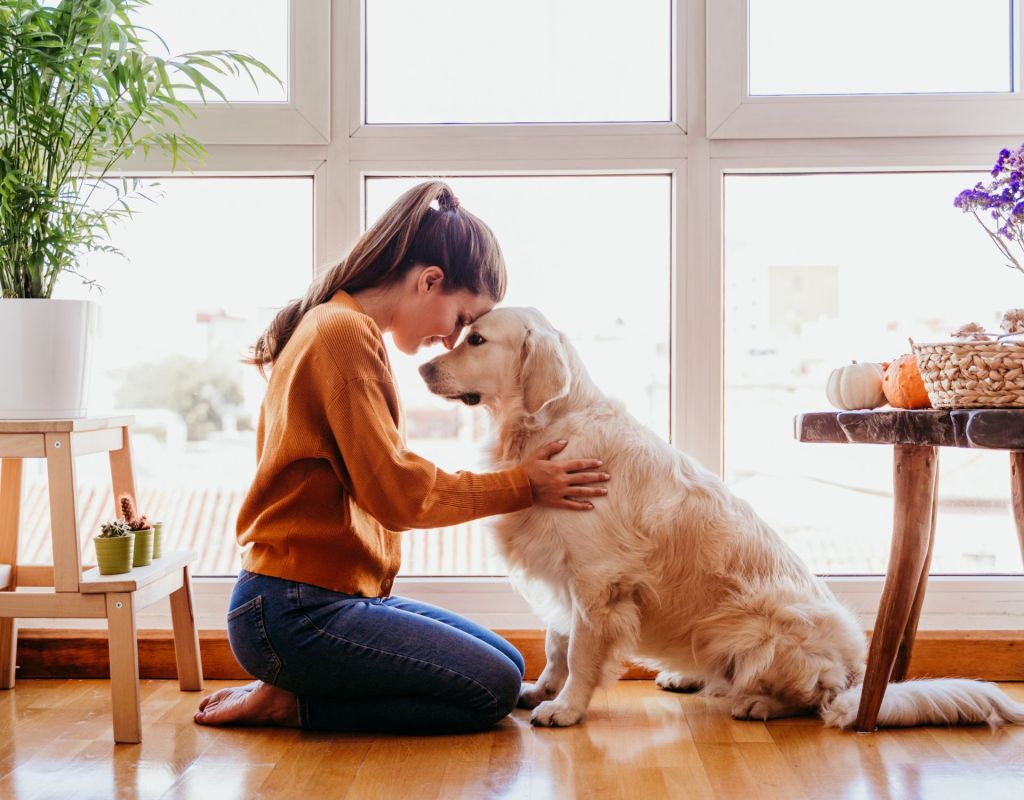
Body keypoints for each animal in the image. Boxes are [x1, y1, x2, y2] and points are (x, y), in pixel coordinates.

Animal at [417, 305, 1024, 729]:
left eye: (476, 340)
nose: (421, 366)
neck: (546, 426)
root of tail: (858, 674)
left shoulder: (596, 581)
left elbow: (583, 650)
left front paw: (565, 708)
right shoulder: (562, 573)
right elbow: (555, 644)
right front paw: (543, 690)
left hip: (763, 625)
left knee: (817, 699)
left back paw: (758, 703)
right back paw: (685, 676)